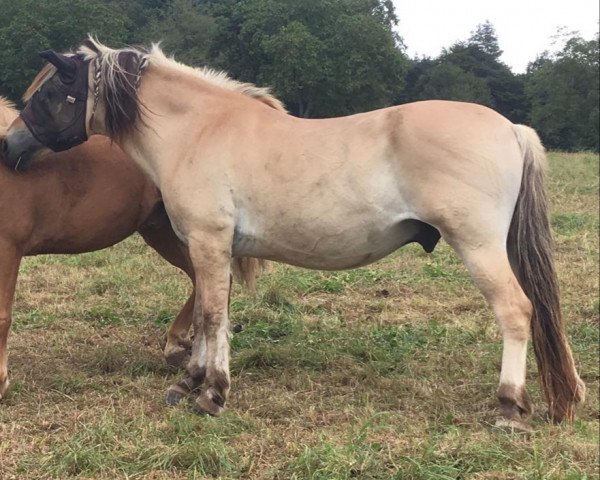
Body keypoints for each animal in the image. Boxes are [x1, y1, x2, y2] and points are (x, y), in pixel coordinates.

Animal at [2, 38, 584, 428]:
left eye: (50, 92)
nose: (7, 147)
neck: (198, 131)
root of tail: (511, 128)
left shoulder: (209, 241)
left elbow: (212, 315)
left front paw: (211, 393)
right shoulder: (212, 248)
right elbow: (213, 314)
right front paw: (191, 381)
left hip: (480, 248)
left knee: (517, 311)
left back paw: (510, 408)